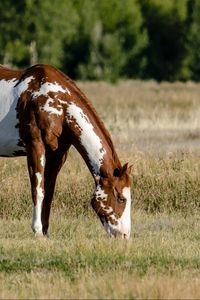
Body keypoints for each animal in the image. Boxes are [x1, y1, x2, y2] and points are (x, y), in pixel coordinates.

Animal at [0, 63, 133, 239]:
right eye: (121, 198)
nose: (124, 235)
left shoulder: (58, 154)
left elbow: (49, 193)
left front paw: (45, 232)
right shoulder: (35, 146)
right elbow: (38, 190)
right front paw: (37, 231)